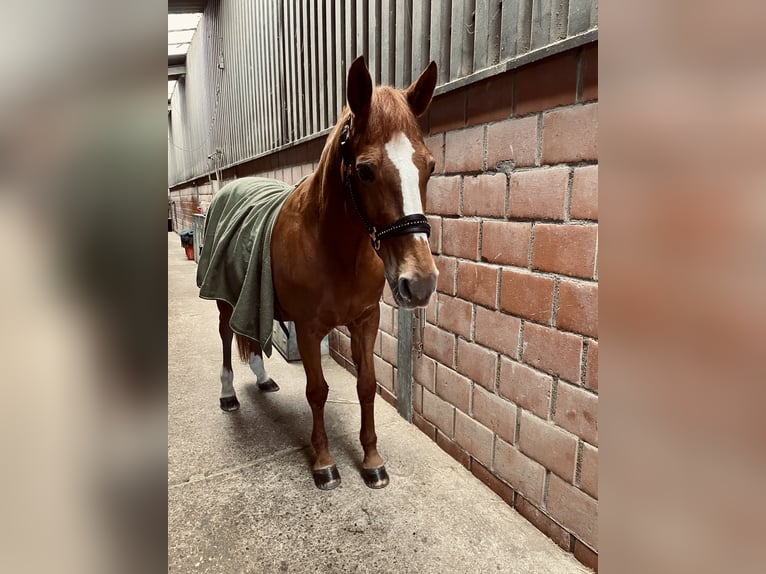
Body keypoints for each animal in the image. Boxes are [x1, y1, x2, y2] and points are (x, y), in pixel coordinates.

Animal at [216, 57, 438, 490]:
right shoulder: (308, 328)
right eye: (365, 171)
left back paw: (263, 379)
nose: (419, 283)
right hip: (222, 300)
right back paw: (229, 395)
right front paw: (324, 463)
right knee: (226, 338)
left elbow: (366, 386)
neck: (335, 251)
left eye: (430, 166)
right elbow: (317, 391)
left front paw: (372, 461)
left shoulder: (366, 320)